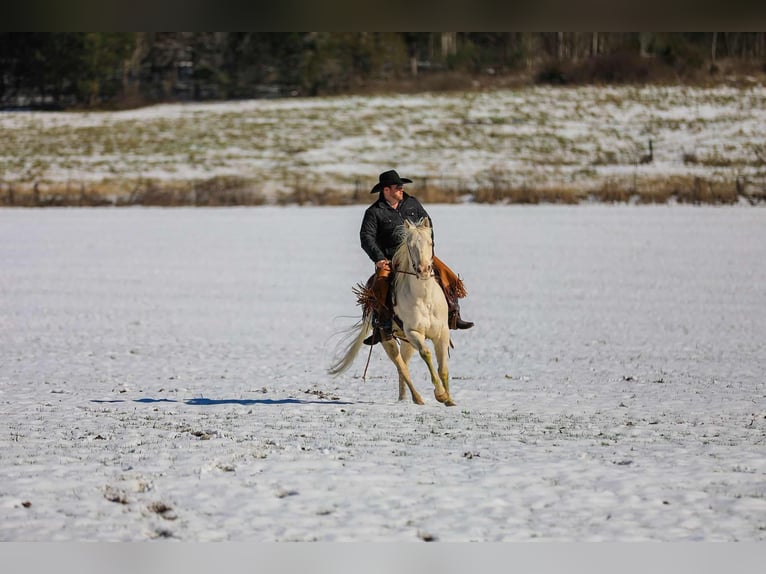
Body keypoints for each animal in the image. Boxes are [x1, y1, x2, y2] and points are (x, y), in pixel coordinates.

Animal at [329, 218, 455, 406]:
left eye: (430, 242)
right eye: (410, 245)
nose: (424, 270)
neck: (424, 298)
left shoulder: (442, 333)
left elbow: (443, 369)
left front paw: (449, 400)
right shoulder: (413, 332)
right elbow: (426, 354)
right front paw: (440, 394)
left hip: (407, 342)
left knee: (404, 364)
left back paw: (404, 398)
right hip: (388, 339)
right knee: (401, 366)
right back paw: (417, 399)